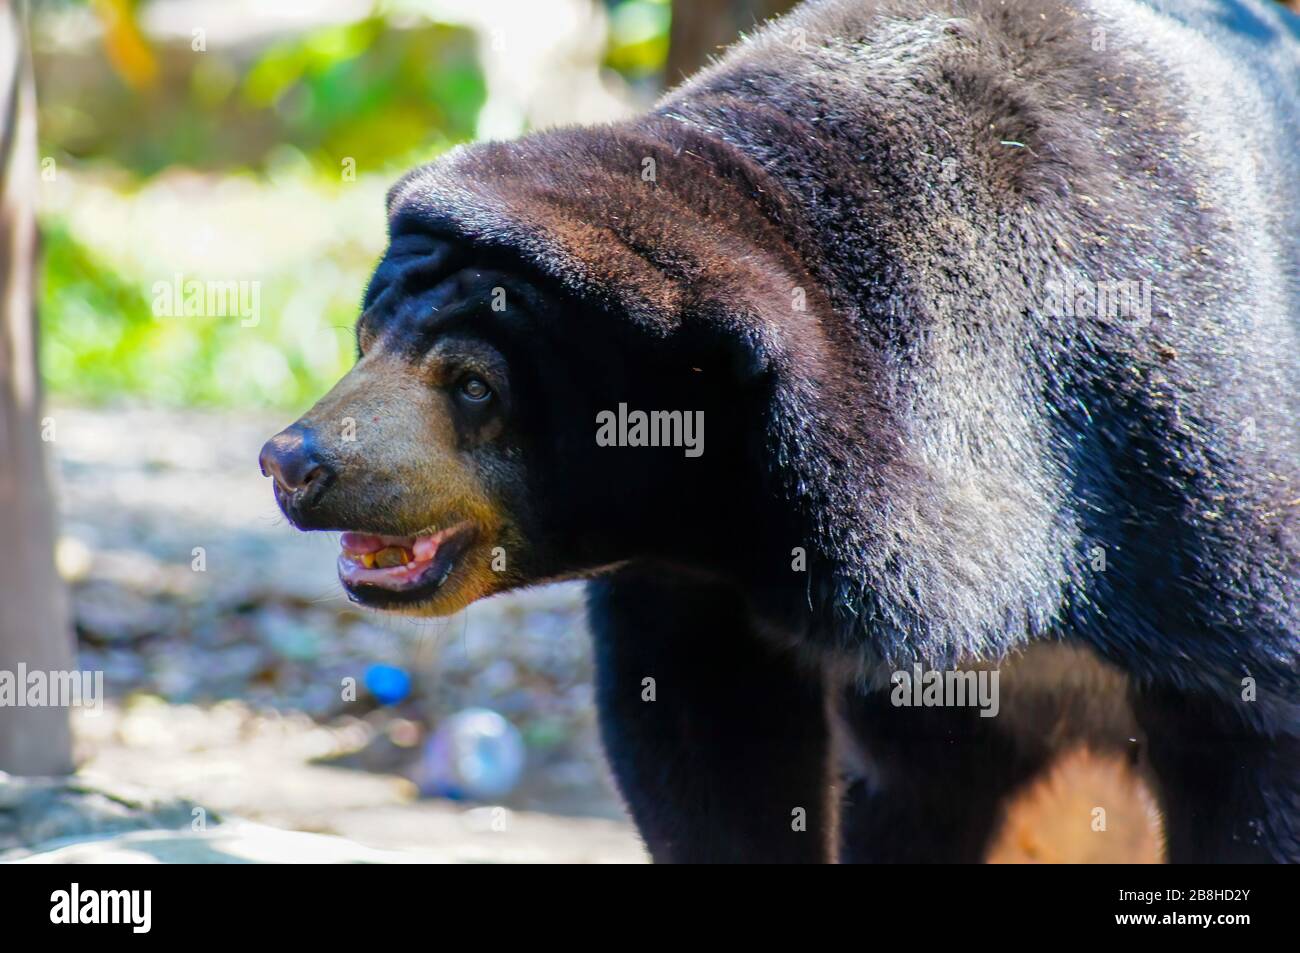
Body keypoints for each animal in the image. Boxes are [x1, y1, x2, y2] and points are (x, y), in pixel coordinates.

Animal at [260, 0, 1300, 863]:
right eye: (363, 340)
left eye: (473, 385)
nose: (292, 461)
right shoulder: (703, 582)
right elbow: (707, 739)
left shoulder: (1181, 471)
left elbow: (1253, 728)